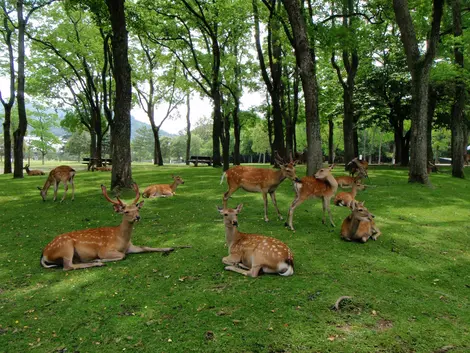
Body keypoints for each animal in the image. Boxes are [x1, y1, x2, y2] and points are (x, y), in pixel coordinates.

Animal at [39, 183, 176, 270]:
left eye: (137, 209)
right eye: (126, 211)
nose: (138, 217)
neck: (121, 239)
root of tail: (44, 254)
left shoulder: (130, 246)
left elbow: (145, 247)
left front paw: (169, 248)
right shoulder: (104, 250)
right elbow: (122, 256)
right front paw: (99, 260)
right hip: (66, 247)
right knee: (67, 266)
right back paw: (97, 263)